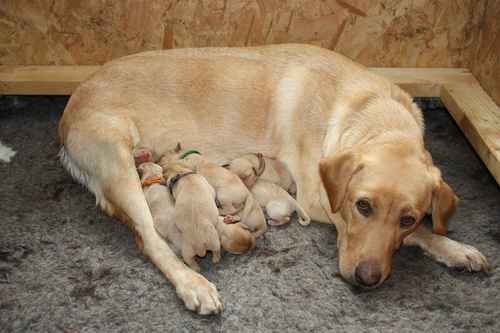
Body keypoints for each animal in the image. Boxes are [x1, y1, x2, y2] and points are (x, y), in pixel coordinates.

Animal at [57, 44, 488, 314]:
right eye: (362, 206)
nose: (367, 280)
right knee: (149, 239)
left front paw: (454, 248)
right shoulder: (319, 199)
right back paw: (192, 284)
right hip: (118, 165)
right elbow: (418, 235)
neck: (371, 117)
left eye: (407, 217)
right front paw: (449, 245)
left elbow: (425, 232)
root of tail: (71, 103)